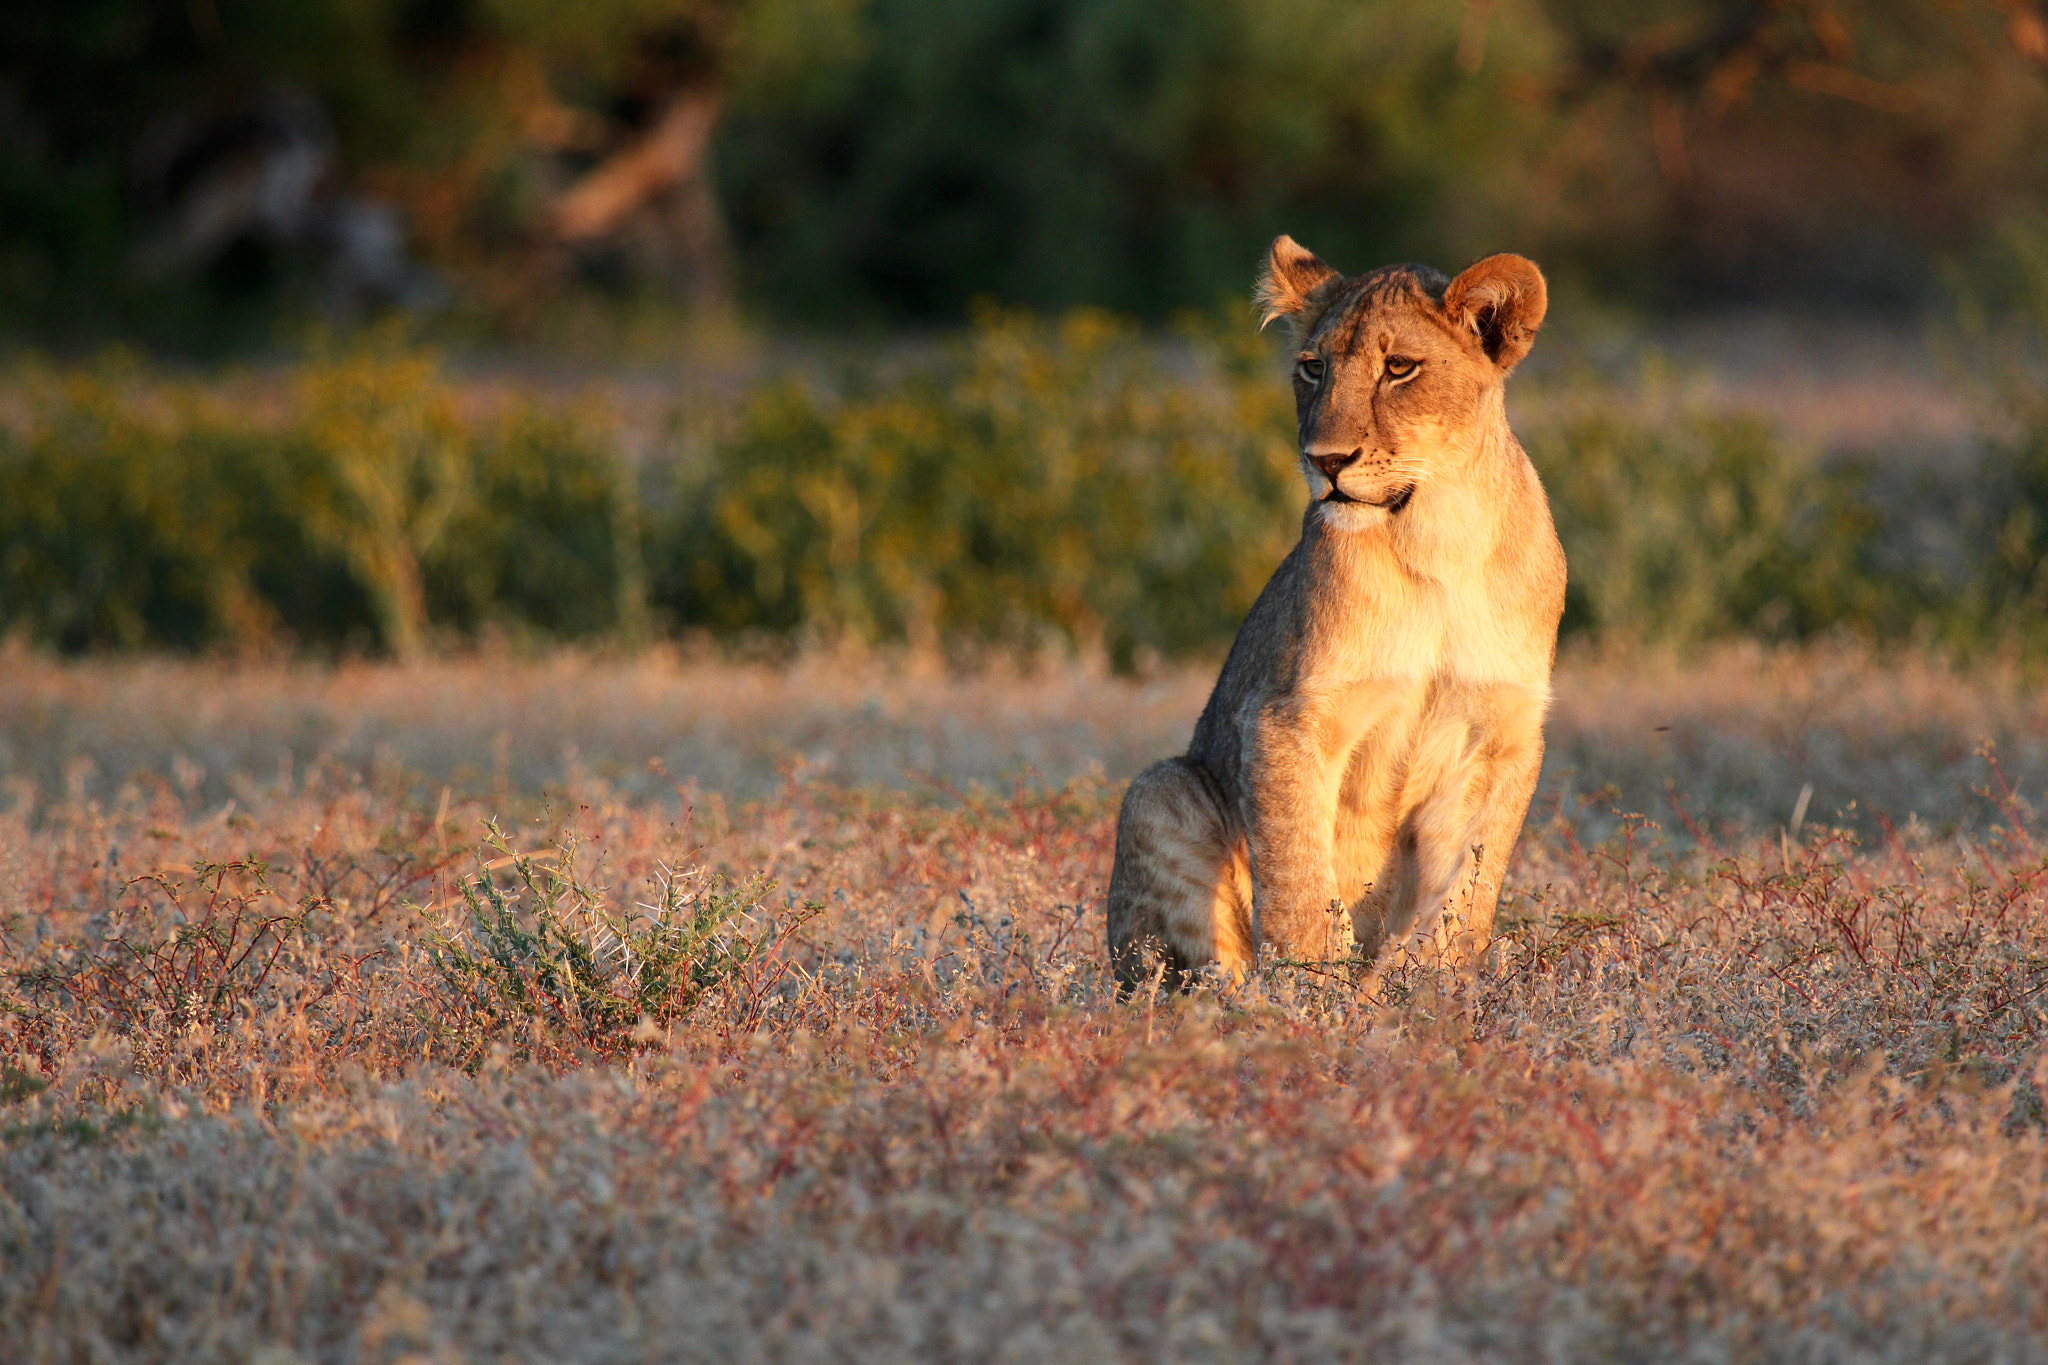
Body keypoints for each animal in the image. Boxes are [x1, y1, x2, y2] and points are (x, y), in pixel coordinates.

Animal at [1105, 236, 1567, 992]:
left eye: (1399, 367)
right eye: (1312, 367)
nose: (1326, 460)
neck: (1439, 539)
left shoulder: (1501, 732)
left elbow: (1464, 890)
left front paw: (1423, 991)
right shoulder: (1285, 716)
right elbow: (1299, 881)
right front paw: (1313, 997)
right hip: (1160, 790)